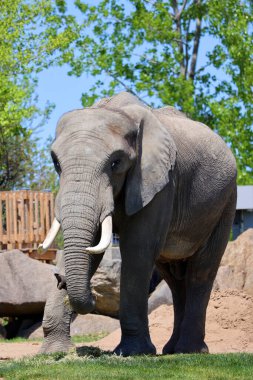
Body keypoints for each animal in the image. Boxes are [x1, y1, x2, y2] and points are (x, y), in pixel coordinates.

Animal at [38, 92, 236, 356]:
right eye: (56, 163)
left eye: (116, 163)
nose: (60, 280)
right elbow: (93, 247)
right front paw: (53, 353)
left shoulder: (160, 183)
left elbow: (137, 251)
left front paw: (133, 352)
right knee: (174, 279)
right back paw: (172, 350)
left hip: (226, 202)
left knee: (200, 271)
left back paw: (189, 350)